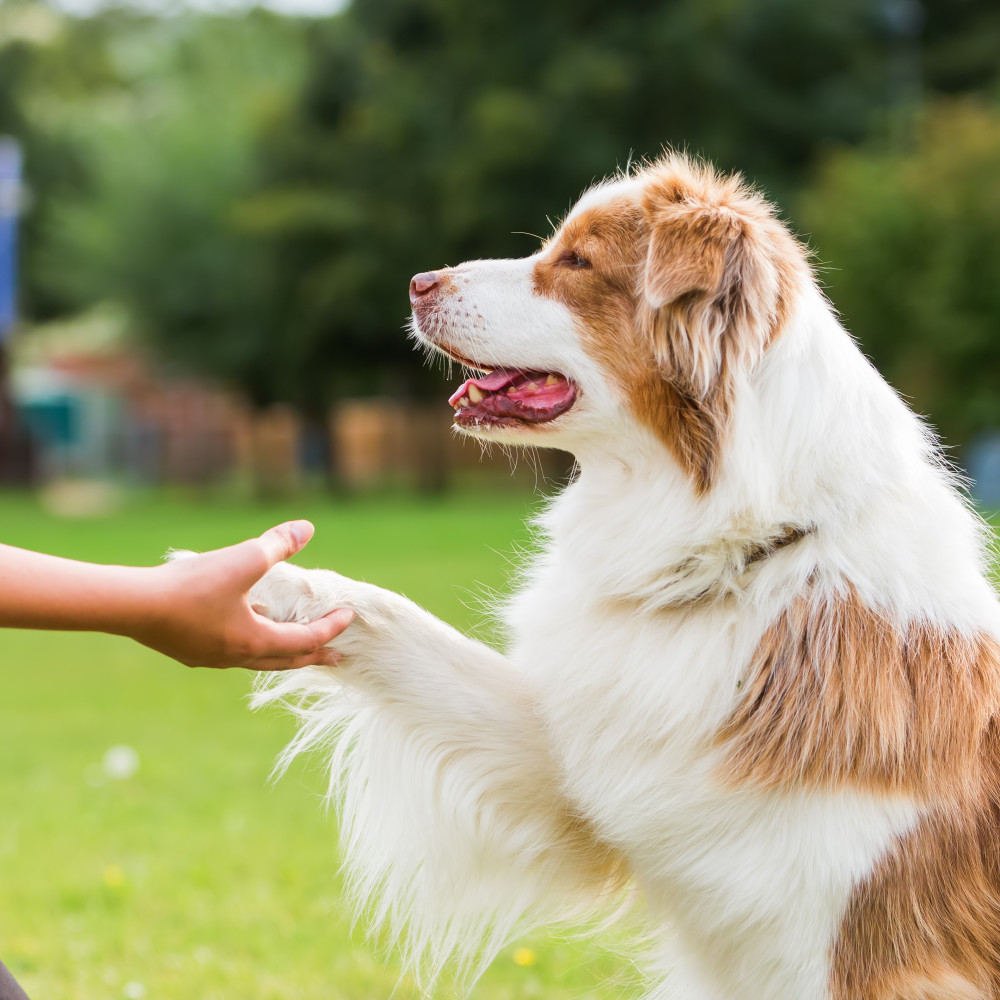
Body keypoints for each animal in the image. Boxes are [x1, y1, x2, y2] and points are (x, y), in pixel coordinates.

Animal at [248, 152, 1000, 996]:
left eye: (577, 262)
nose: (417, 282)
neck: (738, 558)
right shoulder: (592, 759)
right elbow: (398, 622)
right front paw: (259, 583)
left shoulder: (873, 951)